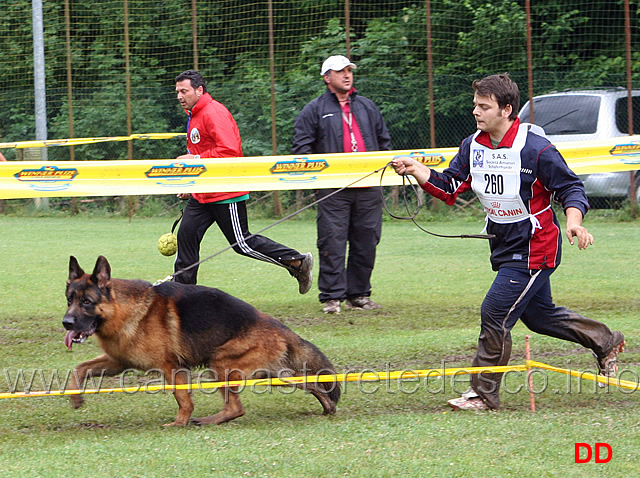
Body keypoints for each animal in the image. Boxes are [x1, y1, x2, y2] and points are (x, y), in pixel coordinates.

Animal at [61, 256, 340, 428]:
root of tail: (277, 325)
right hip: (272, 372)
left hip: (221, 364)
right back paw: (327, 406)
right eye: (69, 300)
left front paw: (179, 423)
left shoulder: (171, 367)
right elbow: (79, 369)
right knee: (308, 381)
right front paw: (75, 397)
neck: (124, 309)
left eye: (87, 302)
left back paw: (208, 420)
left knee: (236, 408)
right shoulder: (117, 361)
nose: (66, 323)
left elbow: (183, 398)